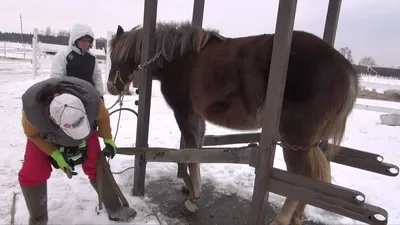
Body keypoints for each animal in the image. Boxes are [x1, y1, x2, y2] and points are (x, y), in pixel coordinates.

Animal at [104, 21, 358, 225]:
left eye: (115, 55)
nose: (111, 87)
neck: (179, 59)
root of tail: (347, 70)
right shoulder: (197, 117)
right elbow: (194, 152)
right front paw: (190, 188)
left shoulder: (184, 112)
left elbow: (191, 153)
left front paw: (193, 198)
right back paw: (297, 216)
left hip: (295, 138)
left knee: (301, 175)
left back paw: (282, 219)